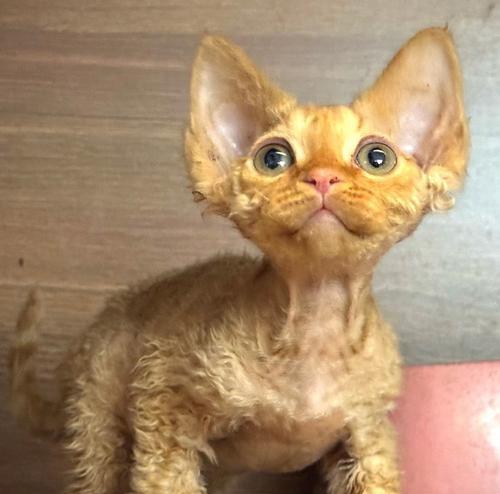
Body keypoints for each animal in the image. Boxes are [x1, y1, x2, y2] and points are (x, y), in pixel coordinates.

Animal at [8, 27, 468, 494]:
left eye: (377, 158)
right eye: (273, 158)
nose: (322, 177)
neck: (316, 330)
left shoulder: (369, 431)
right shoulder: (161, 401)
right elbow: (166, 479)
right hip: (99, 417)